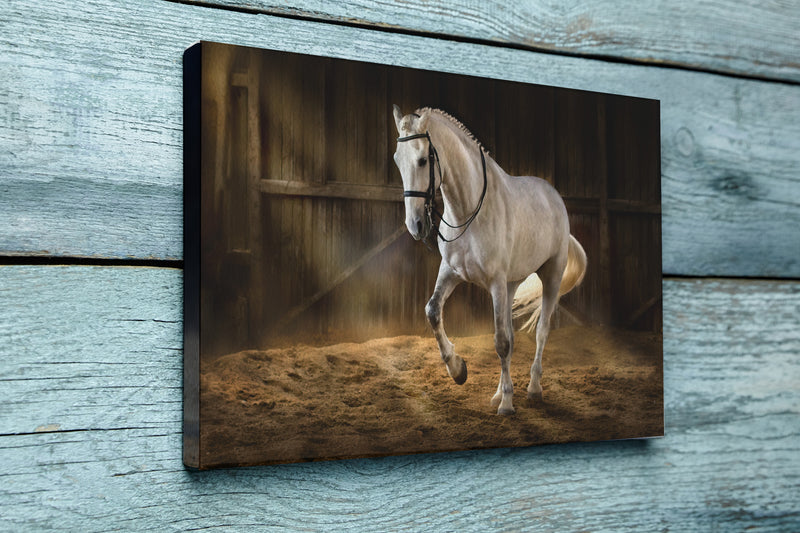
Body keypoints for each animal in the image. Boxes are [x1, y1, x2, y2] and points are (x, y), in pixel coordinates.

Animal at [394, 106, 588, 416]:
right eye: (397, 161)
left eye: (423, 160)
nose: (415, 225)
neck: (469, 211)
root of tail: (554, 196)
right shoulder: (451, 272)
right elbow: (433, 311)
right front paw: (458, 370)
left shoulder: (495, 283)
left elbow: (501, 342)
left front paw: (508, 405)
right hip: (511, 284)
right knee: (511, 332)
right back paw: (498, 393)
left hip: (551, 276)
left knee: (541, 331)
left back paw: (533, 389)